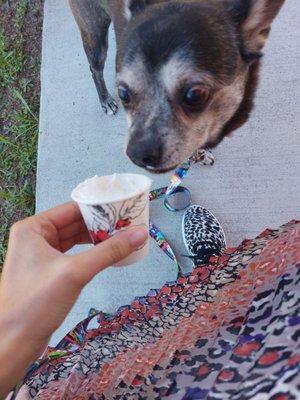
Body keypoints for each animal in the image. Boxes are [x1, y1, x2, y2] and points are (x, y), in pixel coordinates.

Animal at [68, 0, 286, 172]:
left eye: (194, 95)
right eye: (123, 94)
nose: (137, 154)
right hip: (95, 35)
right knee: (95, 68)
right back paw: (105, 100)